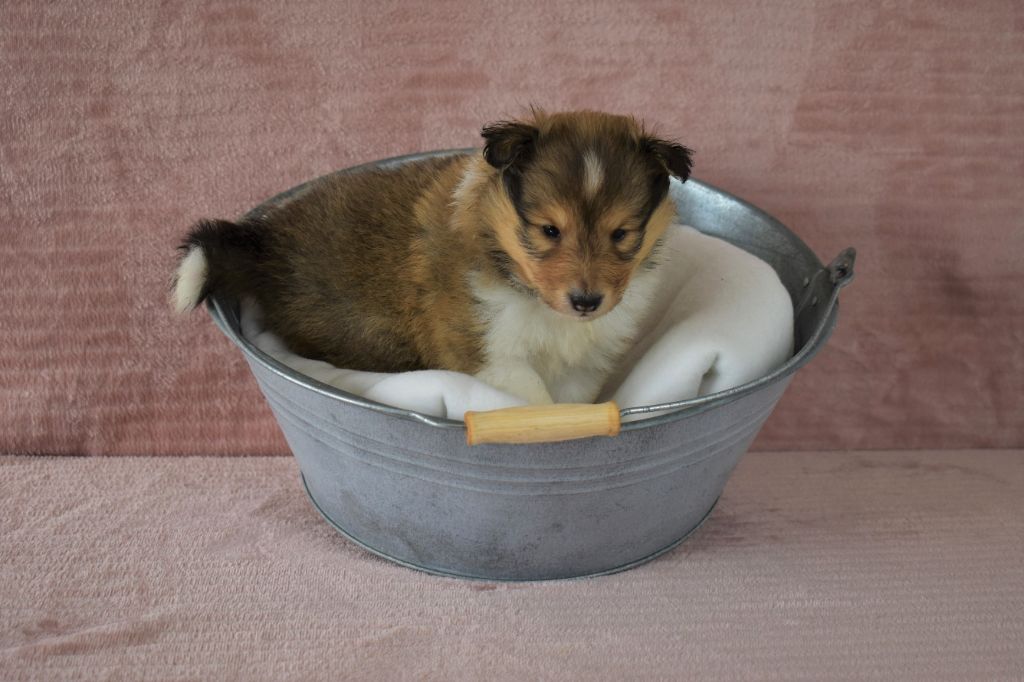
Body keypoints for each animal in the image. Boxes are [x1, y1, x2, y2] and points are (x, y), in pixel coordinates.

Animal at [174, 109, 696, 401]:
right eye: (549, 230)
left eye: (622, 233)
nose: (586, 302)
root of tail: (268, 243)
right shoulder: (485, 350)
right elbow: (534, 404)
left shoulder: (586, 363)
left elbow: (570, 407)